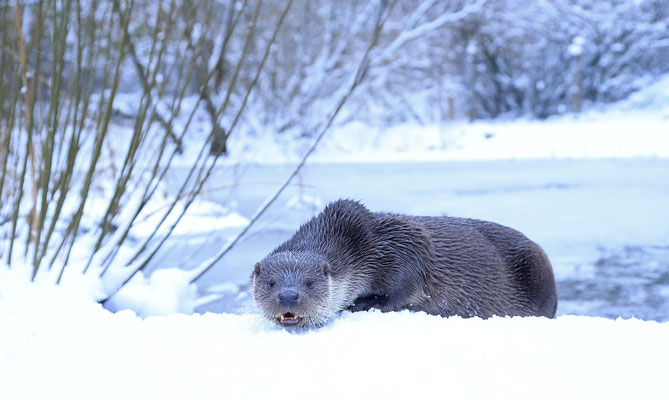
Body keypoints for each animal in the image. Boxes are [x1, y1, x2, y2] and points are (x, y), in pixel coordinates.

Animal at [251, 199, 557, 327]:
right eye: (271, 283)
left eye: (310, 283)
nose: (288, 296)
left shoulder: (407, 244)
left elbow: (401, 291)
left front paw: (360, 303)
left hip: (538, 268)